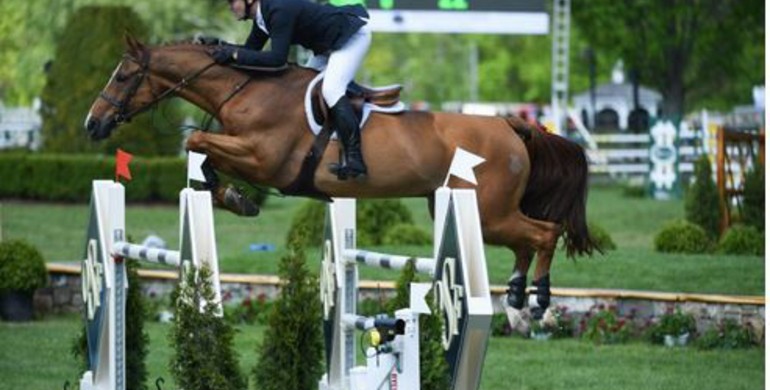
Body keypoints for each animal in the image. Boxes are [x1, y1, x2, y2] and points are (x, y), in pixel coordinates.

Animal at [85, 35, 600, 316]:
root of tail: (511, 125)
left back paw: (538, 300)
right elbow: (202, 152)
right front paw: (234, 197)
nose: (92, 124)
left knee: (544, 232)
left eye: (123, 76)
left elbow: (197, 143)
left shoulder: (265, 160)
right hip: (467, 208)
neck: (247, 89)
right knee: (525, 240)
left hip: (488, 212)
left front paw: (234, 196)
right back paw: (515, 297)